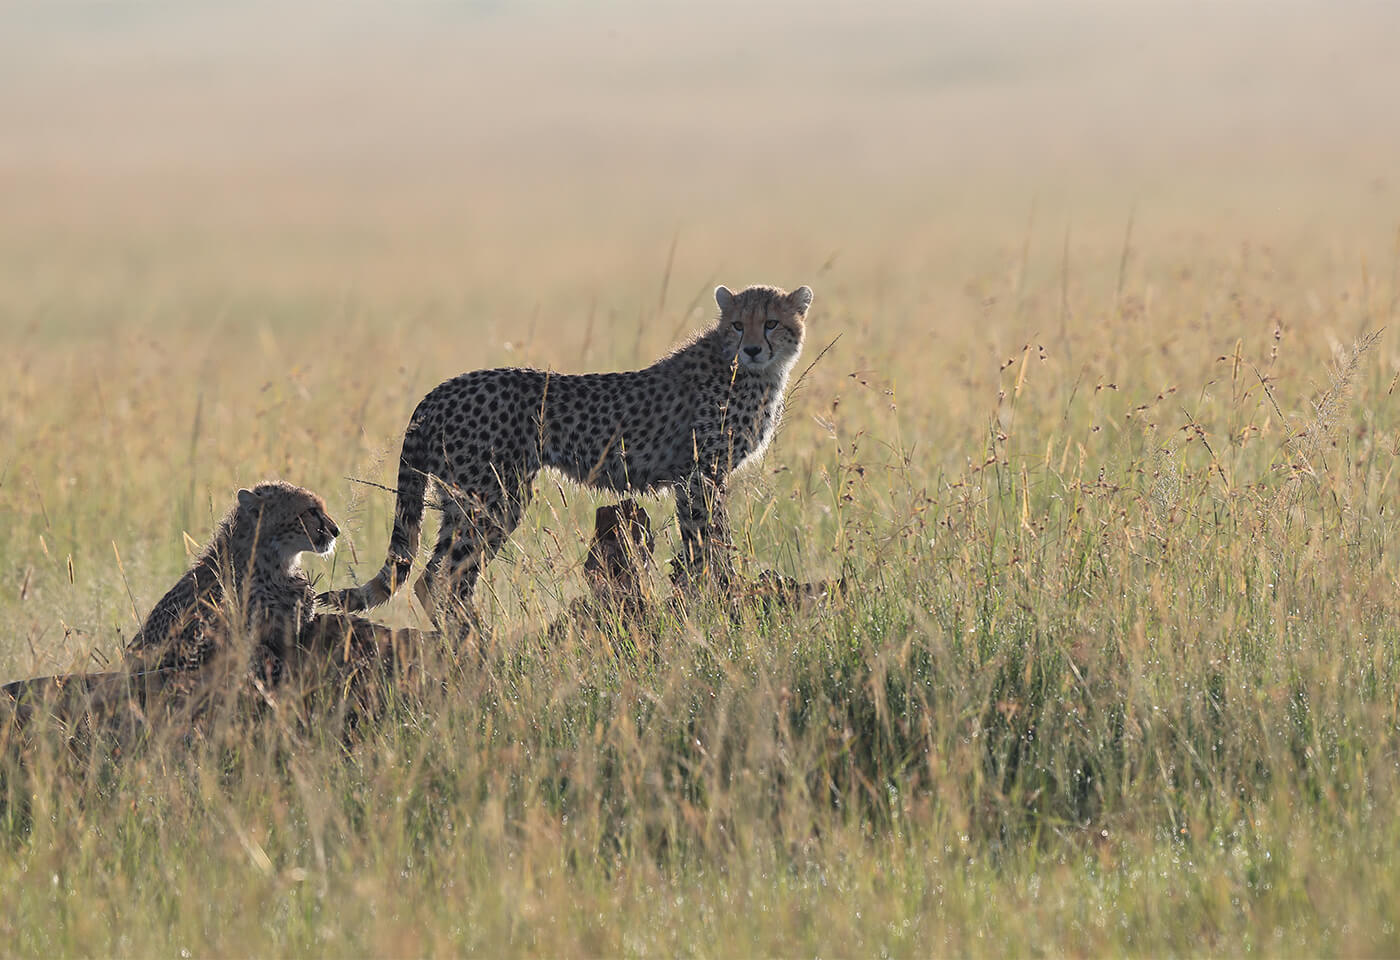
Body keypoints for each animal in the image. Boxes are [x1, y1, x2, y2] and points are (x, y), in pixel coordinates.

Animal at [319, 282, 817, 626]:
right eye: (738, 324)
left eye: (771, 322)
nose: (752, 348)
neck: (747, 372)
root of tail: (441, 389)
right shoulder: (699, 474)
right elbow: (707, 540)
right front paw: (718, 591)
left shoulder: (701, 476)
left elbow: (709, 539)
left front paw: (715, 590)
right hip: (496, 497)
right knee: (449, 576)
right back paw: (474, 640)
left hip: (461, 498)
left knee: (433, 576)